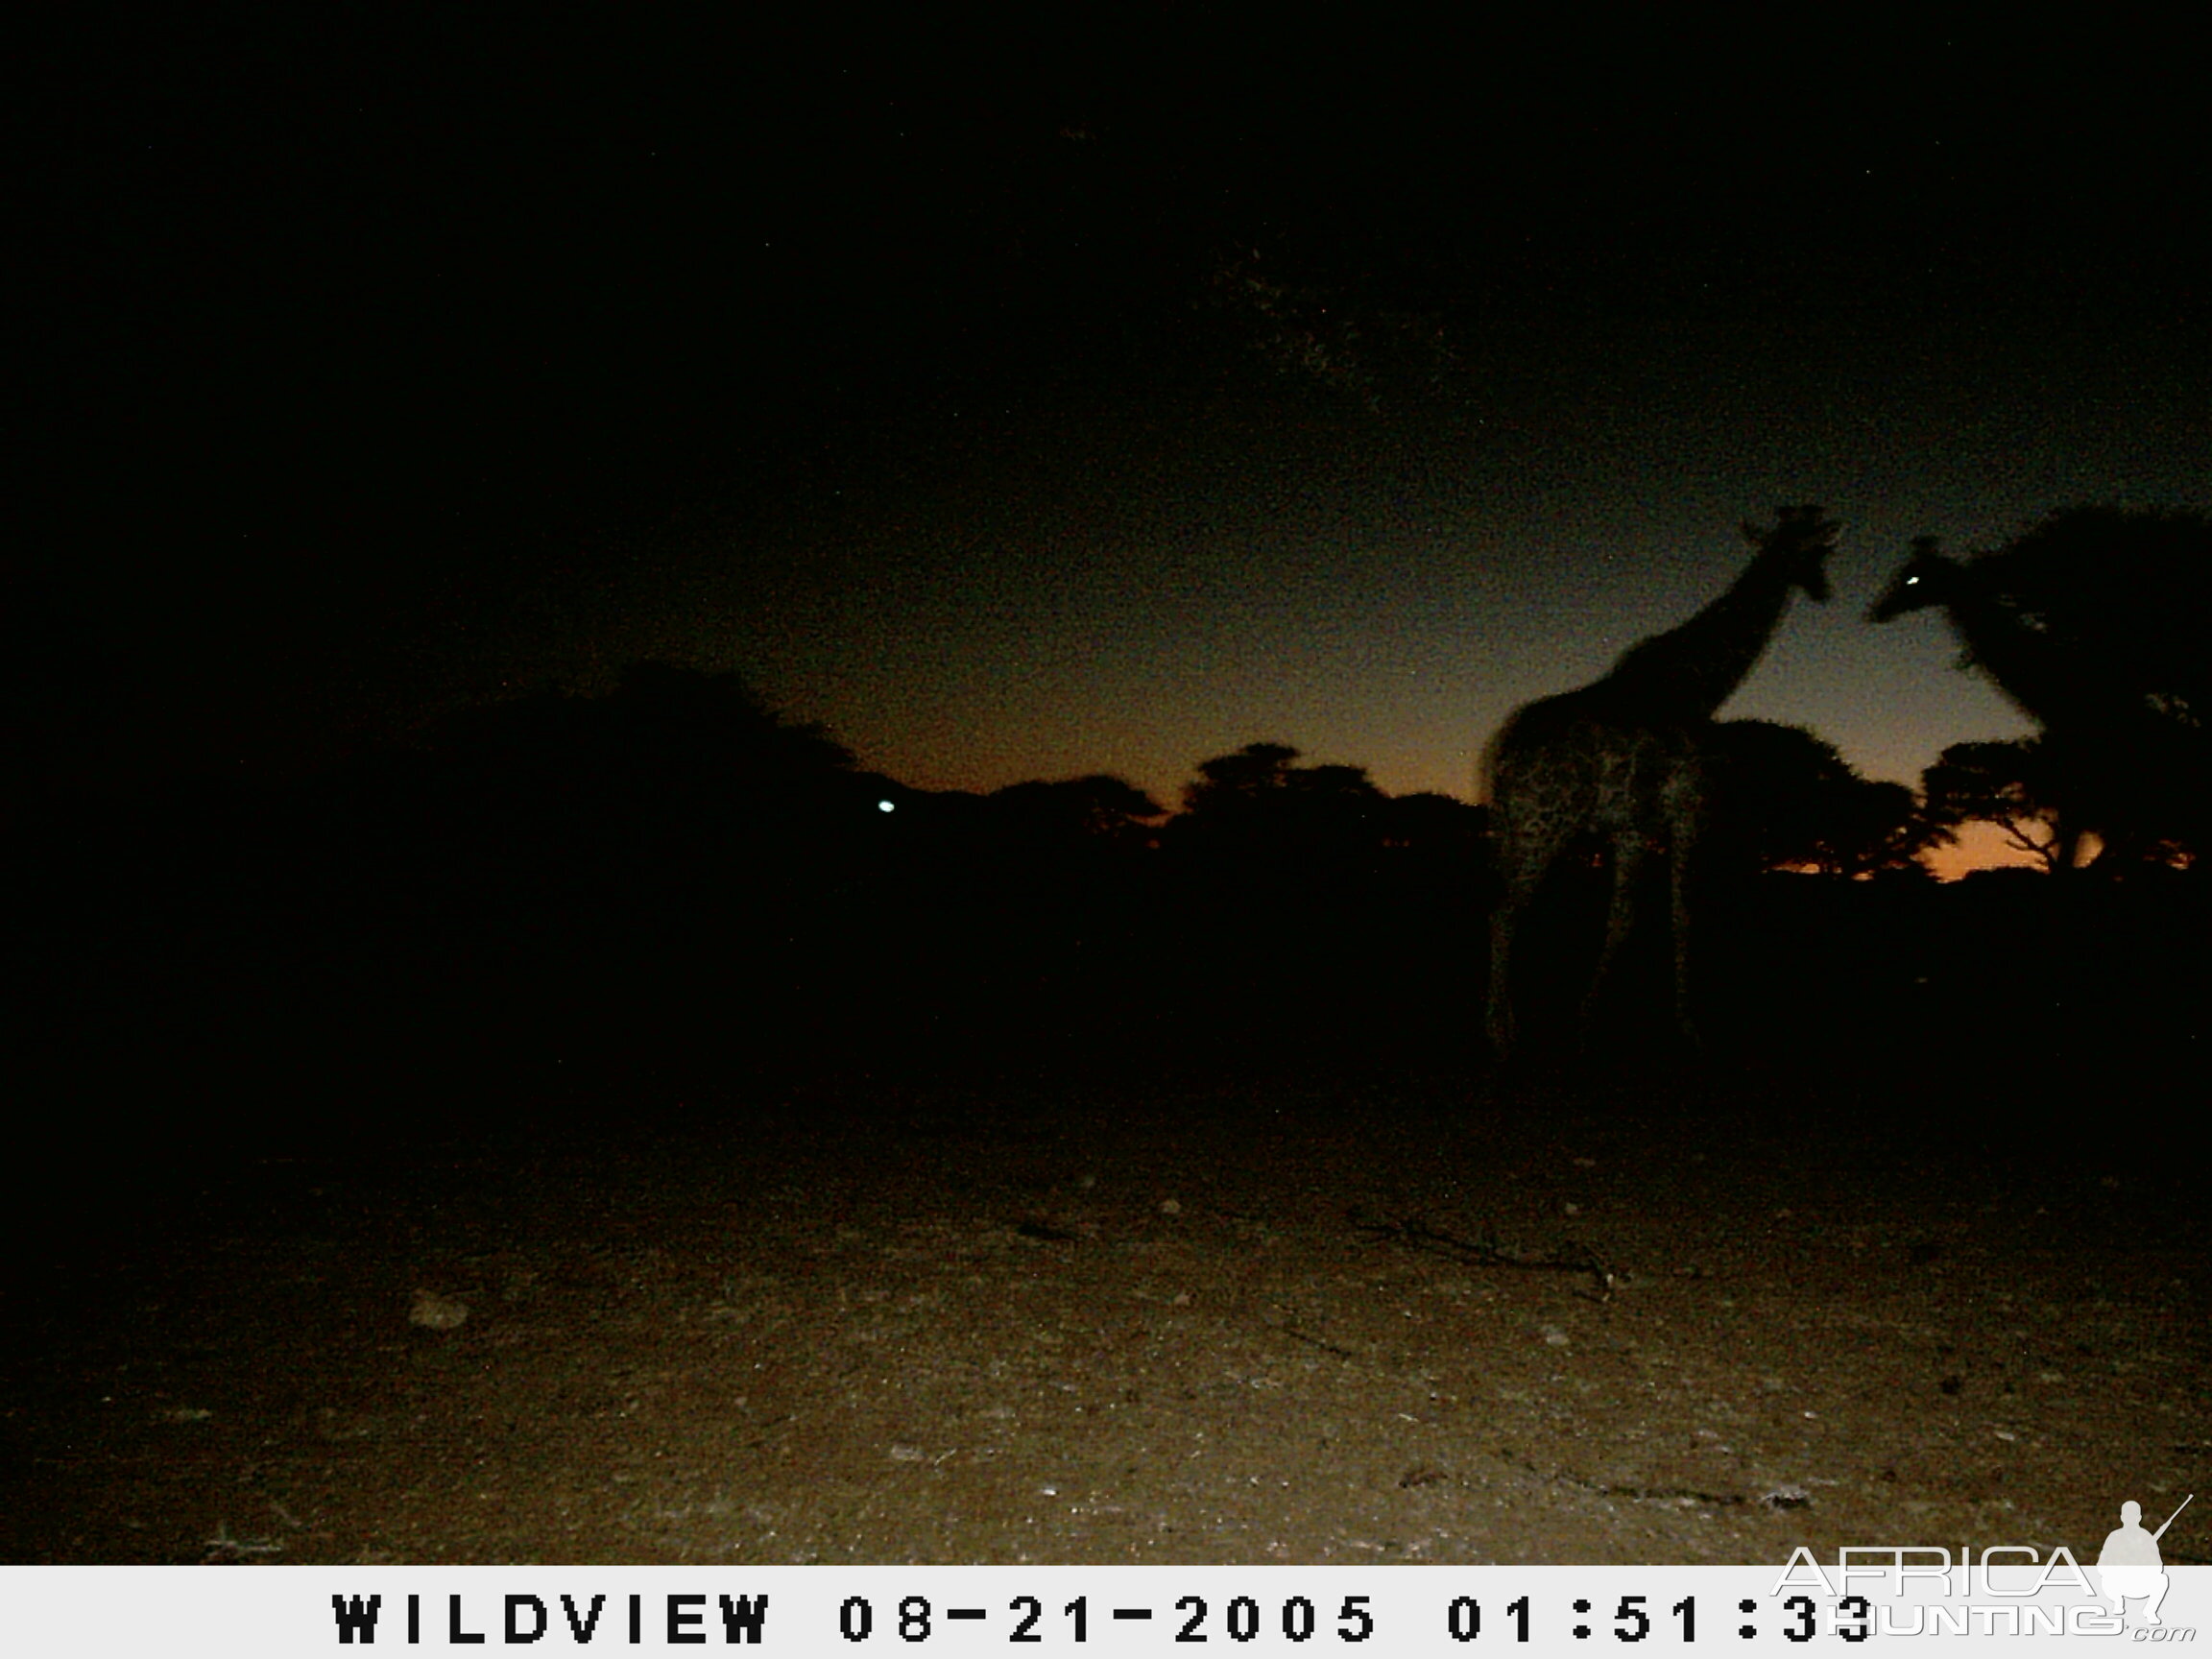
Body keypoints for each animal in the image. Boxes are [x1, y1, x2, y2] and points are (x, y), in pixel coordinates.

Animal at [1478, 506, 1839, 1052]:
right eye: (1815, 551)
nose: (1823, 591)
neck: (1703, 683)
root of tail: (1504, 756)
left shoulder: (1631, 826)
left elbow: (1621, 920)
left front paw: (1585, 1018)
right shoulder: (1690, 811)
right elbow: (1683, 916)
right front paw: (1690, 1025)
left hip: (1508, 825)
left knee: (1500, 904)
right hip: (1546, 825)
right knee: (1505, 913)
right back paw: (1503, 1030)